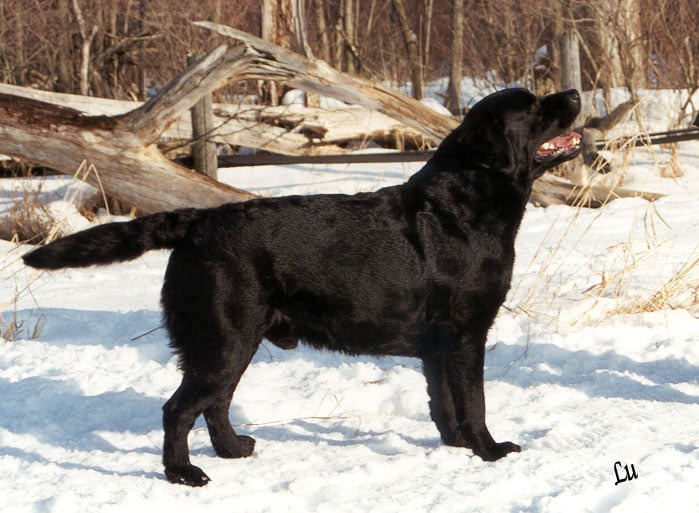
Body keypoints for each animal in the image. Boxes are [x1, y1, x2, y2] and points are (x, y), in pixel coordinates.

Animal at [23, 88, 582, 486]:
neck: (467, 206)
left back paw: (232, 450)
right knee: (179, 409)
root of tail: (196, 221)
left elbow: (444, 404)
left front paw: (457, 448)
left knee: (215, 404)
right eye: (533, 106)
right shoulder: (466, 335)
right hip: (224, 339)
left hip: (232, 342)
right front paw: (489, 450)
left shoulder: (440, 346)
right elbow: (474, 402)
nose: (575, 93)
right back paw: (184, 474)